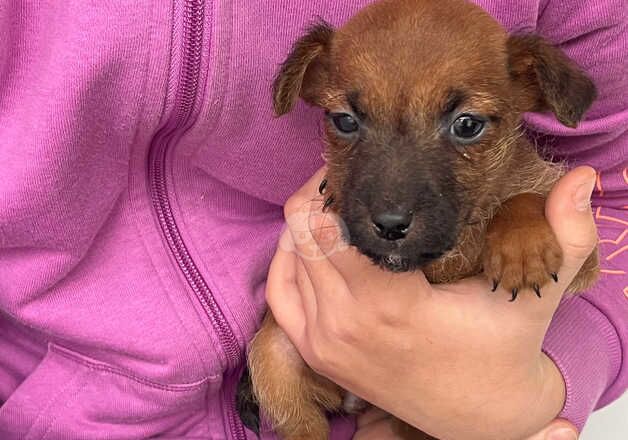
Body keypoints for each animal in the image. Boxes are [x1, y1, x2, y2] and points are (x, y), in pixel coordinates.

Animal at [239, 1, 600, 438]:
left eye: (467, 124)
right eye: (344, 121)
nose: (390, 224)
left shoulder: (585, 257)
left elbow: (524, 199)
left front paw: (522, 248)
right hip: (273, 357)